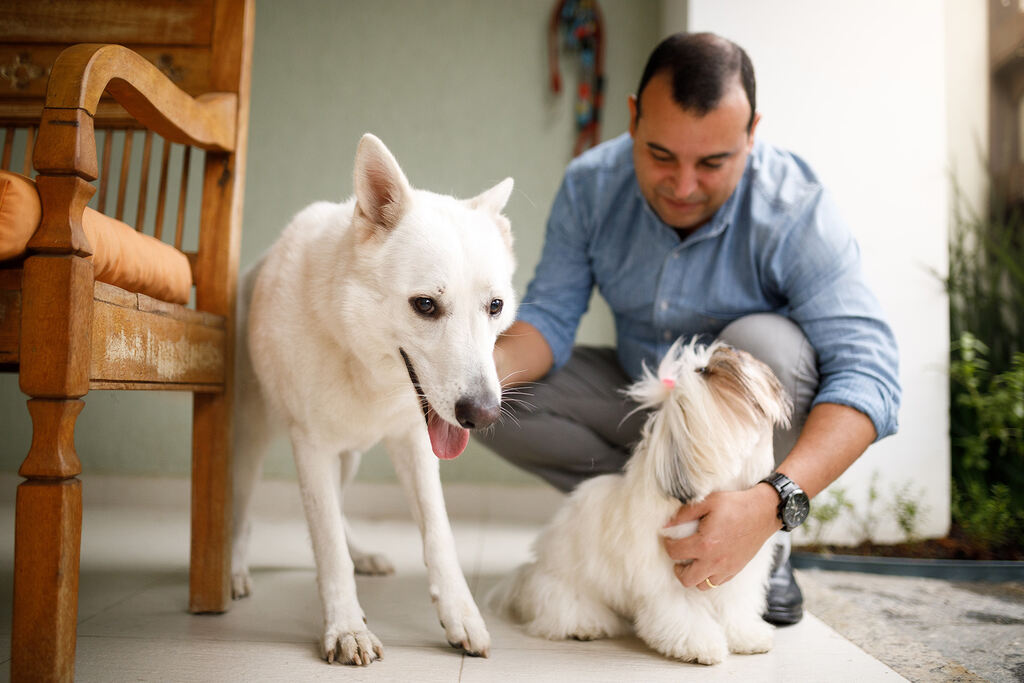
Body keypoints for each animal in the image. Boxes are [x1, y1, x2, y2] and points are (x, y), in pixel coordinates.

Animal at [234, 135, 516, 667]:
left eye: (495, 306)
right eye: (425, 305)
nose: (484, 414)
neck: (359, 355)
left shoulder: (415, 442)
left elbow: (438, 534)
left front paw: (461, 615)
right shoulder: (312, 450)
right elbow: (327, 550)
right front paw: (346, 629)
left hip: (349, 459)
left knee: (338, 508)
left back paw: (362, 553)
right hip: (250, 442)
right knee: (238, 510)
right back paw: (233, 569)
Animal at [487, 339, 790, 663]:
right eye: (704, 371)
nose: (730, 350)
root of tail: (530, 575)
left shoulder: (731, 566)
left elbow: (734, 606)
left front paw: (746, 635)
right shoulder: (666, 577)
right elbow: (683, 613)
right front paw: (701, 645)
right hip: (564, 586)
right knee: (563, 609)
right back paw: (585, 626)